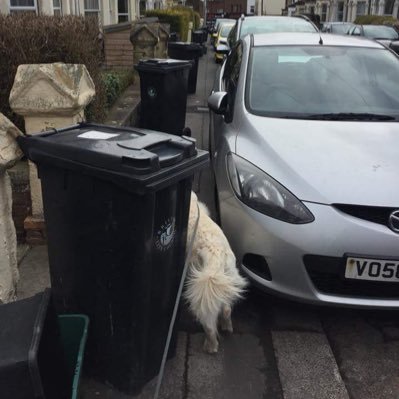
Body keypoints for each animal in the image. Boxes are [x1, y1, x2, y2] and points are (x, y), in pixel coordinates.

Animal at [184, 192, 247, 354]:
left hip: (204, 293)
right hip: (224, 280)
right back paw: (227, 327)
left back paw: (210, 347)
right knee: (226, 309)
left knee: (209, 325)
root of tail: (215, 252)